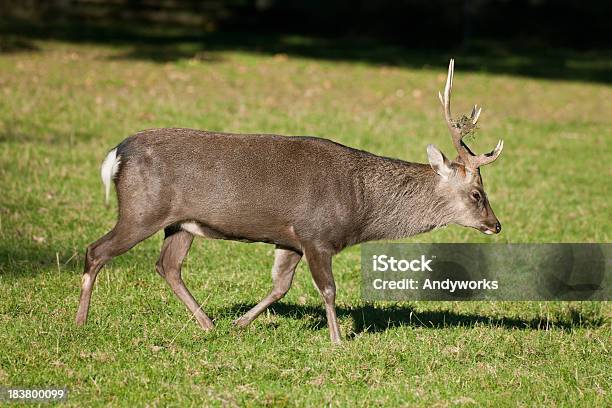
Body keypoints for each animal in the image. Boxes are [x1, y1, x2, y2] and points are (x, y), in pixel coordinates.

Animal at [75, 59, 502, 342]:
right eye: (477, 193)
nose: (496, 224)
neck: (360, 209)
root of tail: (117, 153)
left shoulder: (290, 239)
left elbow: (280, 285)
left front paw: (240, 323)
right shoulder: (316, 234)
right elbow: (328, 289)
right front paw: (338, 341)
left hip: (180, 222)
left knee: (168, 265)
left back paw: (209, 323)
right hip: (142, 209)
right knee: (97, 250)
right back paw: (80, 322)